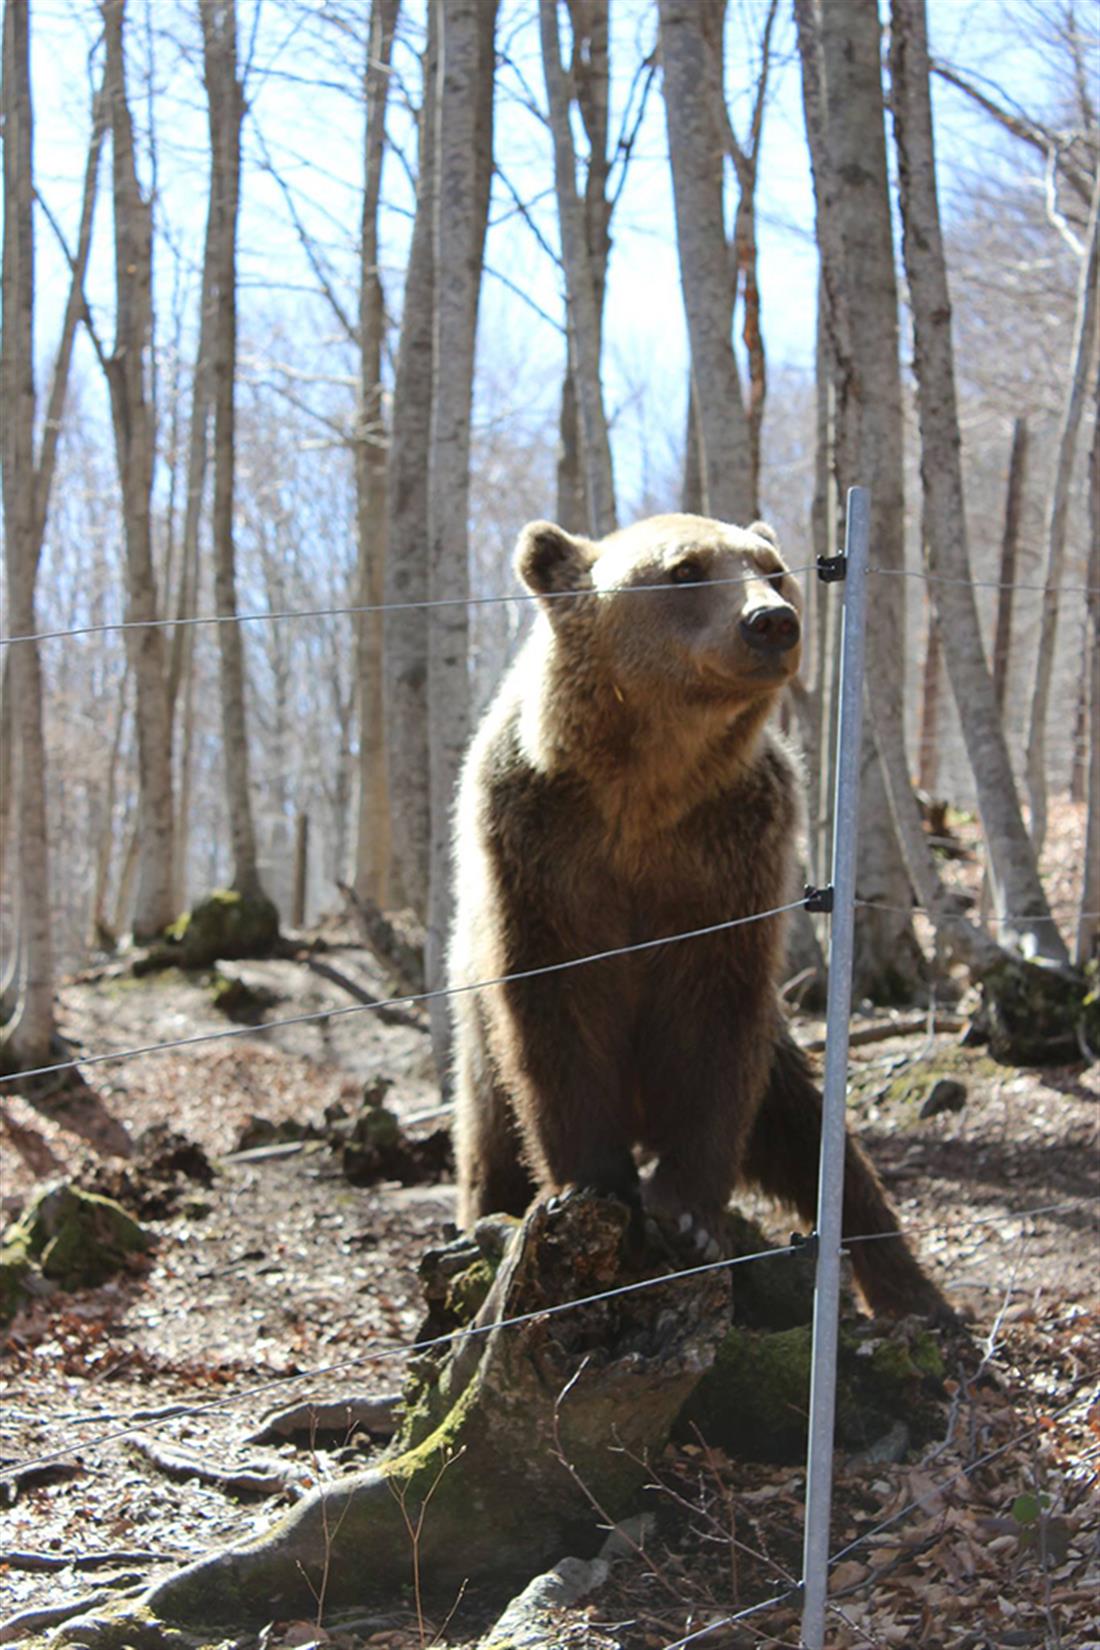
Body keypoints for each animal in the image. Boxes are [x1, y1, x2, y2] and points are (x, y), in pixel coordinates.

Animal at [451, 508, 949, 1320]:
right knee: (489, 1138)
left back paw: (911, 1292)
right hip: (477, 1052)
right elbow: (556, 1006)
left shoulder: (730, 853)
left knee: (810, 1133)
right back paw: (482, 1220)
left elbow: (712, 1018)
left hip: (776, 1060)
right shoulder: (541, 849)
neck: (646, 786)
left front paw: (689, 1219)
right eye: (684, 570)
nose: (772, 621)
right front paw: (596, 1187)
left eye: (773, 569)